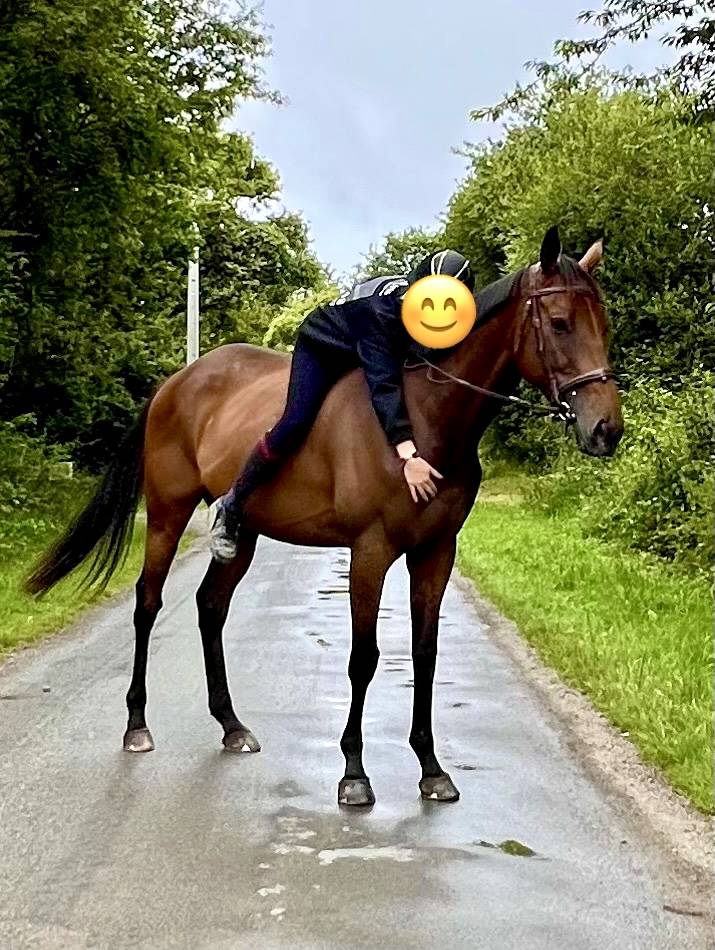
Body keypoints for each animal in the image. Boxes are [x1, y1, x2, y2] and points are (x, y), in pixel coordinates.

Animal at [27, 226, 623, 806]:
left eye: (605, 325)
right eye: (560, 323)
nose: (606, 429)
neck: (425, 416)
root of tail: (175, 382)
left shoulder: (436, 552)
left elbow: (425, 654)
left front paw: (431, 768)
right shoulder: (371, 550)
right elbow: (364, 657)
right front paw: (354, 773)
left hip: (244, 535)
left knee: (210, 606)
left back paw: (231, 725)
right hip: (169, 514)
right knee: (148, 604)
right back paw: (136, 725)